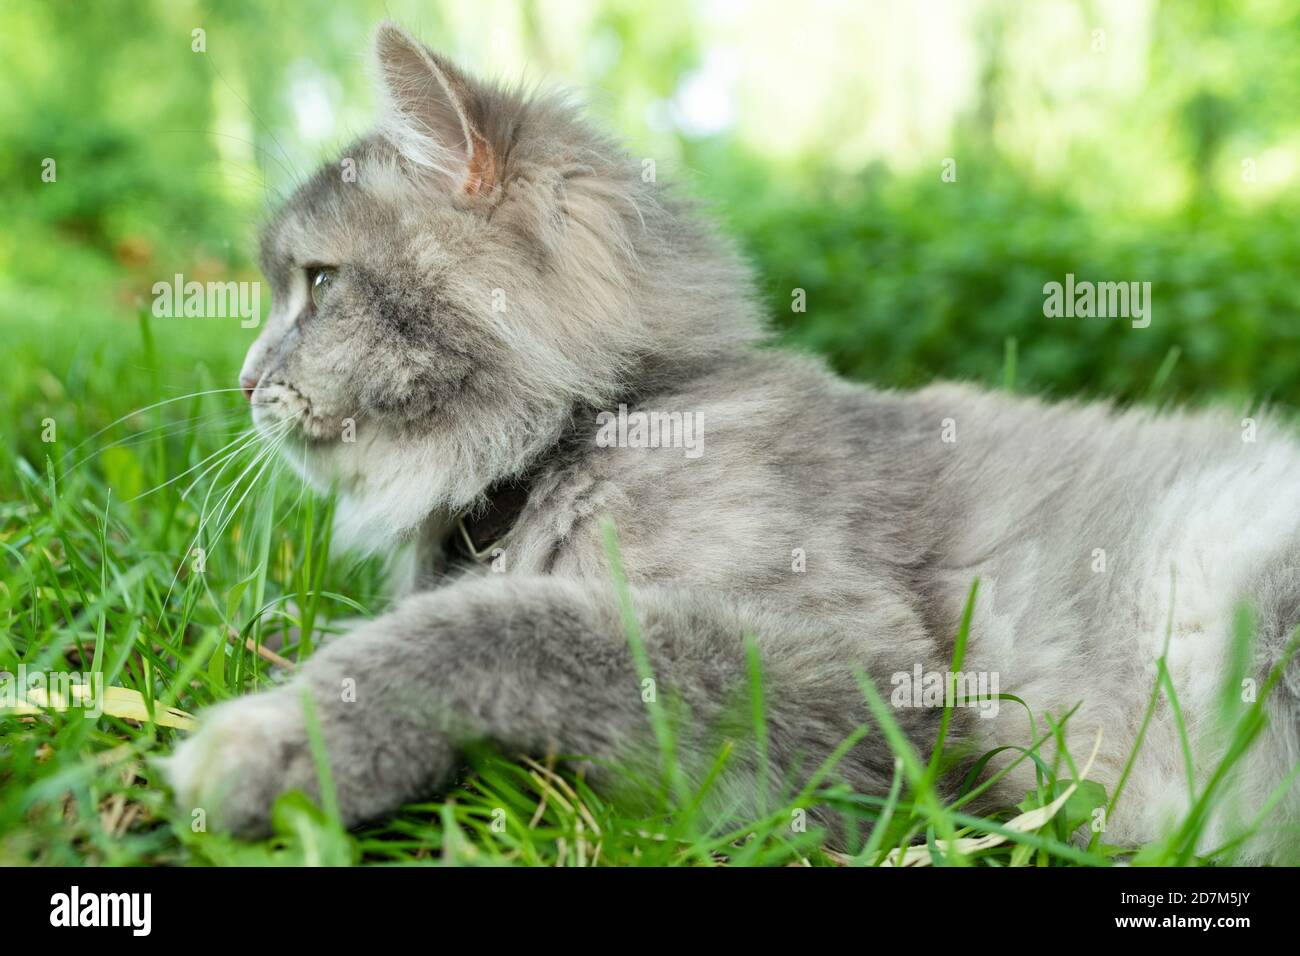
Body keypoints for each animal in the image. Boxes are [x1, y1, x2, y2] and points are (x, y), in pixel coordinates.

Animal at [165, 22, 1300, 863]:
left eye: (319, 284)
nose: (246, 381)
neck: (602, 423)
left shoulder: (879, 693)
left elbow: (513, 627)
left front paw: (276, 736)